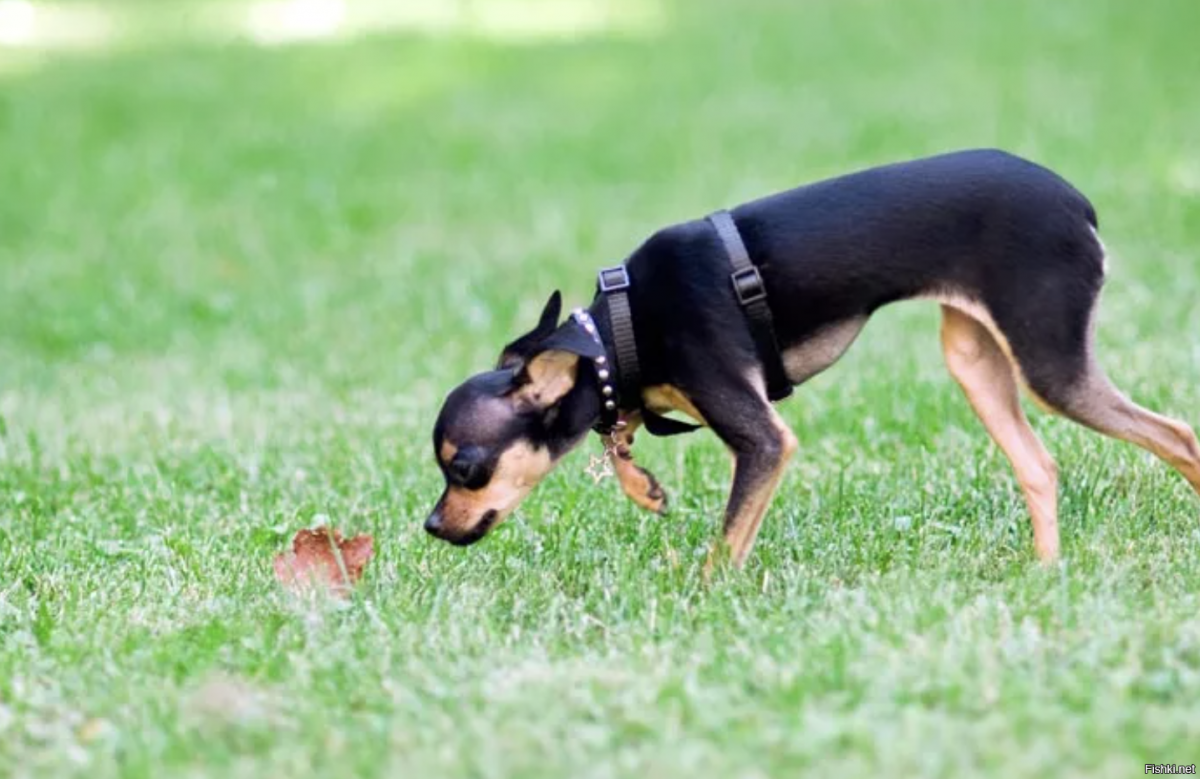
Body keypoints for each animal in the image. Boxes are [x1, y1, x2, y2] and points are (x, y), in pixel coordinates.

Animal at [424, 148, 1200, 564]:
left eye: (466, 469)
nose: (431, 525)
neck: (619, 327)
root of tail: (1079, 205)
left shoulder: (764, 439)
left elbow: (726, 541)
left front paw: (702, 600)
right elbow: (620, 425)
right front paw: (642, 485)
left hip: (1050, 366)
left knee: (1178, 434)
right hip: (974, 361)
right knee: (1039, 466)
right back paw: (1044, 571)